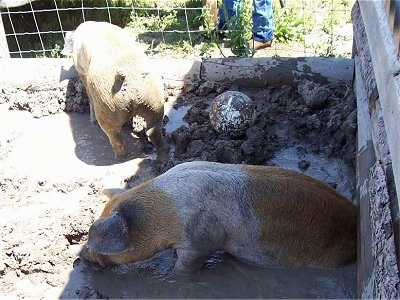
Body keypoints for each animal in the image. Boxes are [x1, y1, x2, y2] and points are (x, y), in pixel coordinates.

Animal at [61, 21, 168, 159]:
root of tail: (130, 78)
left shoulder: (81, 70)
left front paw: (92, 122)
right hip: (154, 99)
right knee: (153, 130)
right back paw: (164, 151)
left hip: (106, 103)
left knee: (114, 135)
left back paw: (119, 156)